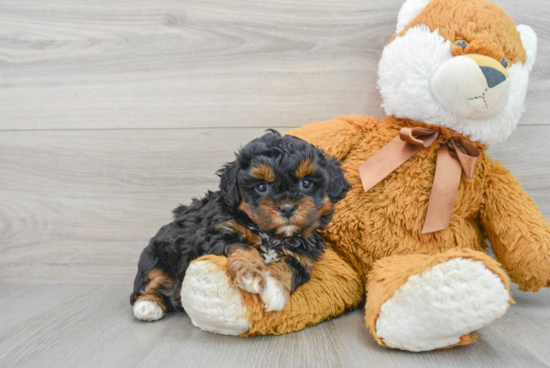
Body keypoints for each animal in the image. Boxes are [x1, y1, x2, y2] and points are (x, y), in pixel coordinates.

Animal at [132, 131, 352, 320]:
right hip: (155, 257)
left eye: (306, 184)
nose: (288, 208)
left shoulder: (304, 257)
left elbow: (291, 267)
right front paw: (250, 274)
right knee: (149, 283)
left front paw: (274, 287)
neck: (272, 235)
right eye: (261, 187)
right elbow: (244, 248)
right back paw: (148, 305)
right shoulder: (220, 233)